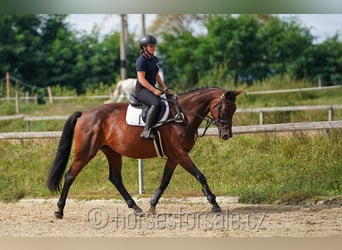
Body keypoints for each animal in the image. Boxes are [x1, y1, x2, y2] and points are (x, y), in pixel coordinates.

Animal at [46, 87, 242, 218]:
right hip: (85, 152)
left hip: (112, 152)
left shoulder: (174, 156)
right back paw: (59, 210)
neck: (181, 115)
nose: (226, 135)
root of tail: (85, 113)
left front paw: (152, 205)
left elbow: (164, 181)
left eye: (234, 109)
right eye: (225, 108)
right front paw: (214, 204)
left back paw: (136, 208)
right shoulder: (180, 153)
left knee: (115, 178)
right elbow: (200, 175)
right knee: (70, 175)